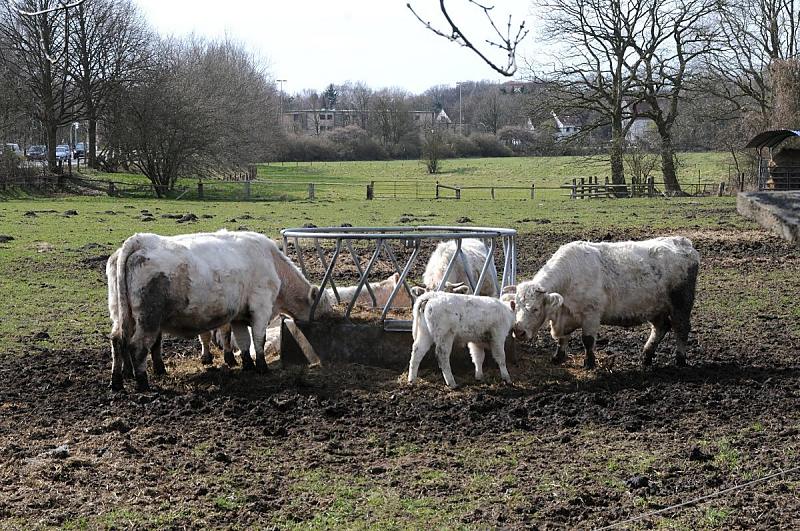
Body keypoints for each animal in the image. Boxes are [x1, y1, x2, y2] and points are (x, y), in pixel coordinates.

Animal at [107, 230, 332, 390]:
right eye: (325, 308)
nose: (332, 319)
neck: (273, 264)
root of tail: (140, 241)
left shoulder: (239, 315)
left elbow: (243, 340)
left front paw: (247, 365)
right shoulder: (261, 307)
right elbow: (258, 339)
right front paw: (262, 367)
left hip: (120, 315)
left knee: (118, 341)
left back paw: (118, 381)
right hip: (148, 318)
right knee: (138, 346)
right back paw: (143, 383)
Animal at [516, 238, 696, 370]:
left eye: (535, 309)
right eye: (515, 306)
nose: (518, 331)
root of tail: (682, 242)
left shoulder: (591, 314)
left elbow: (587, 340)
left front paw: (589, 363)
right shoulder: (564, 316)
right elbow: (562, 339)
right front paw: (557, 357)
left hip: (681, 304)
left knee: (681, 329)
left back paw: (680, 360)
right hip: (655, 308)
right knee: (661, 328)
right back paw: (646, 357)